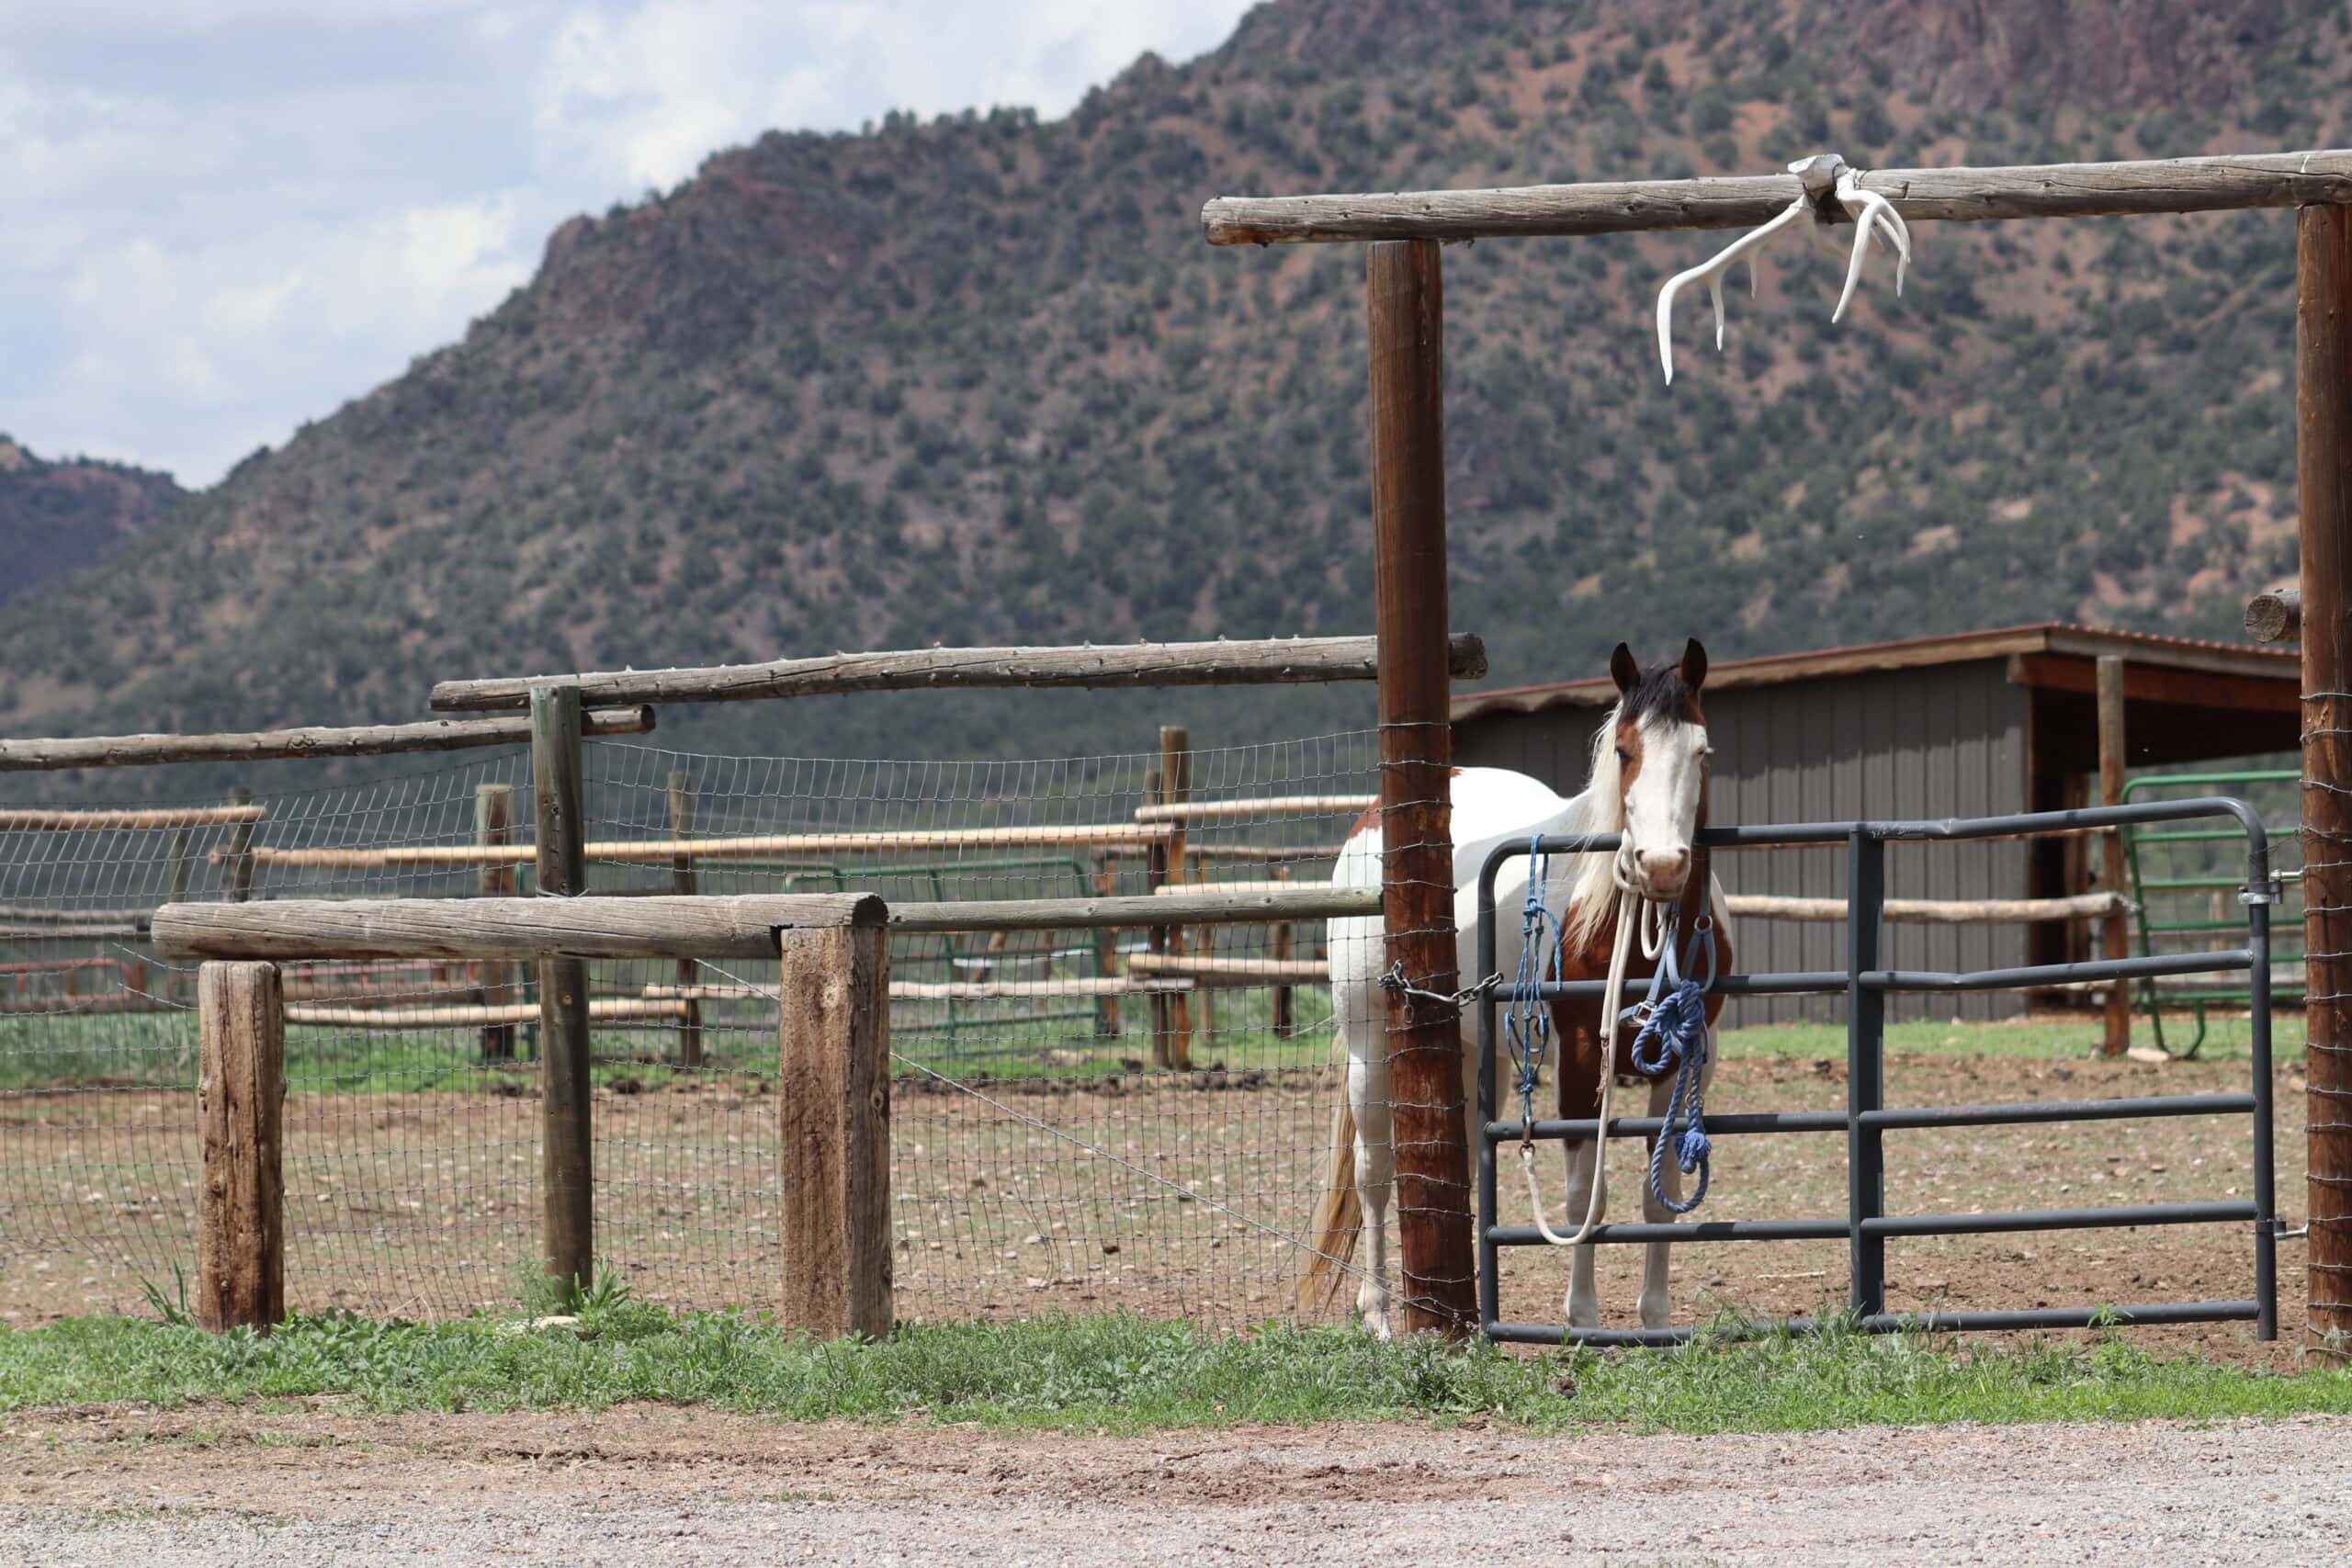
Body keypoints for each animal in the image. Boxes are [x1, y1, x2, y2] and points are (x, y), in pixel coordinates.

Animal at [1310, 638, 1732, 1336]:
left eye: (1702, 750)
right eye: (1624, 751)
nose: (1663, 865)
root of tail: (1371, 822)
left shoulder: (1689, 1053)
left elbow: (1659, 1190)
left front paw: (1655, 1318)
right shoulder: (1582, 1054)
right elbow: (1585, 1194)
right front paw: (1582, 1317)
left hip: (1477, 1052)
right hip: (1370, 1049)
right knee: (1375, 1174)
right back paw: (1378, 1314)